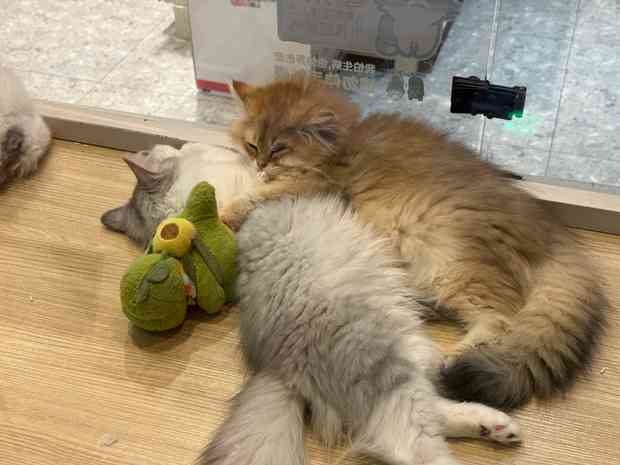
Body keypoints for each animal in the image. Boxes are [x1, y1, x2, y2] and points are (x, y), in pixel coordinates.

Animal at [198, 195, 521, 465]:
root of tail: (279, 368)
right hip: (385, 360)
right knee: (406, 441)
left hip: (402, 354)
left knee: (424, 411)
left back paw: (493, 426)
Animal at [218, 74, 607, 410]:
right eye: (252, 146)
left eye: (279, 149)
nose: (260, 164)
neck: (339, 146)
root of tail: (549, 231)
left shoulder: (314, 186)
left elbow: (254, 198)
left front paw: (225, 212)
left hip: (451, 261)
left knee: (501, 318)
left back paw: (449, 361)